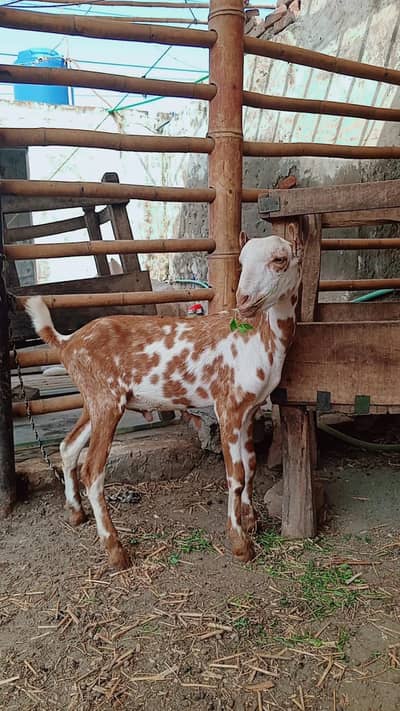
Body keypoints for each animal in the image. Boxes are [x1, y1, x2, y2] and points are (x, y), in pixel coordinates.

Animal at [25, 232, 303, 570]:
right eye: (241, 261)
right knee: (92, 471)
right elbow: (235, 475)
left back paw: (76, 513)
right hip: (106, 400)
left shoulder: (249, 408)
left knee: (68, 446)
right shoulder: (227, 406)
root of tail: (67, 342)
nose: (245, 301)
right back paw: (116, 551)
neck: (259, 339)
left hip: (94, 399)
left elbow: (250, 465)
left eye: (280, 260)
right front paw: (240, 543)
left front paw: (251, 521)